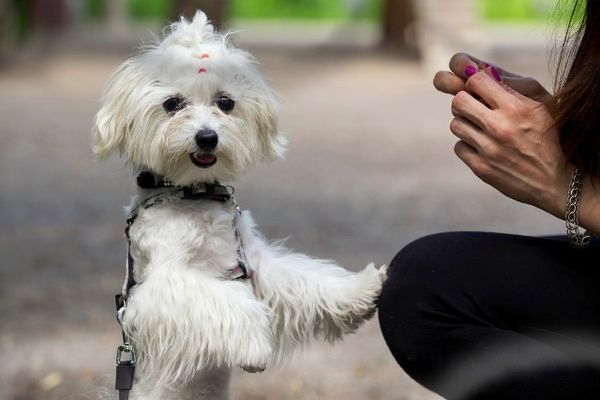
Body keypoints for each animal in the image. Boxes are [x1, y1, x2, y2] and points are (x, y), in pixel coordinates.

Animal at [92, 11, 386, 400]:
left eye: (226, 102)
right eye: (172, 104)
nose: (207, 137)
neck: (194, 195)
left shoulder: (254, 262)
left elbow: (306, 281)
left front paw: (361, 290)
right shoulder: (160, 286)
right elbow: (233, 303)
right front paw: (256, 349)